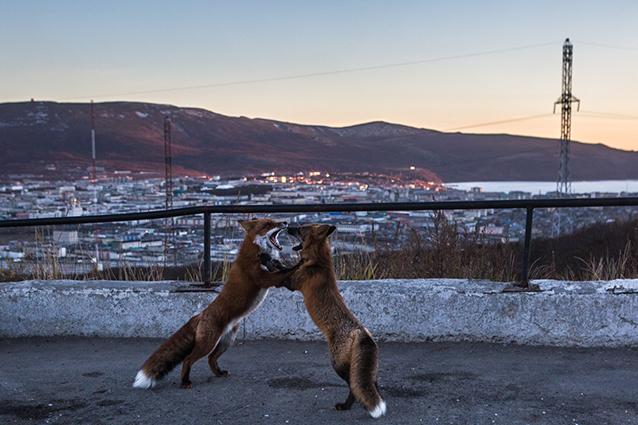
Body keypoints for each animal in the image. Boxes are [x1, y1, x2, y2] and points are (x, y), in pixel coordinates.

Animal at [134, 219, 298, 388]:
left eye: (273, 221)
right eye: (268, 224)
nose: (285, 222)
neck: (257, 251)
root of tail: (199, 315)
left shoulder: (270, 270)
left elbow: (281, 268)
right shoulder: (262, 278)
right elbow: (285, 272)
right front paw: (299, 264)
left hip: (226, 342)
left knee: (211, 359)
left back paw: (219, 373)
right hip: (208, 344)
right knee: (188, 359)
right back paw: (185, 381)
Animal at [278, 224, 388, 420]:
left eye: (300, 229)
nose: (288, 226)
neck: (319, 261)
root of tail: (360, 331)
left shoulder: (292, 283)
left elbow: (283, 272)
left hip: (337, 363)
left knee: (353, 385)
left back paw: (346, 406)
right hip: (364, 368)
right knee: (373, 383)